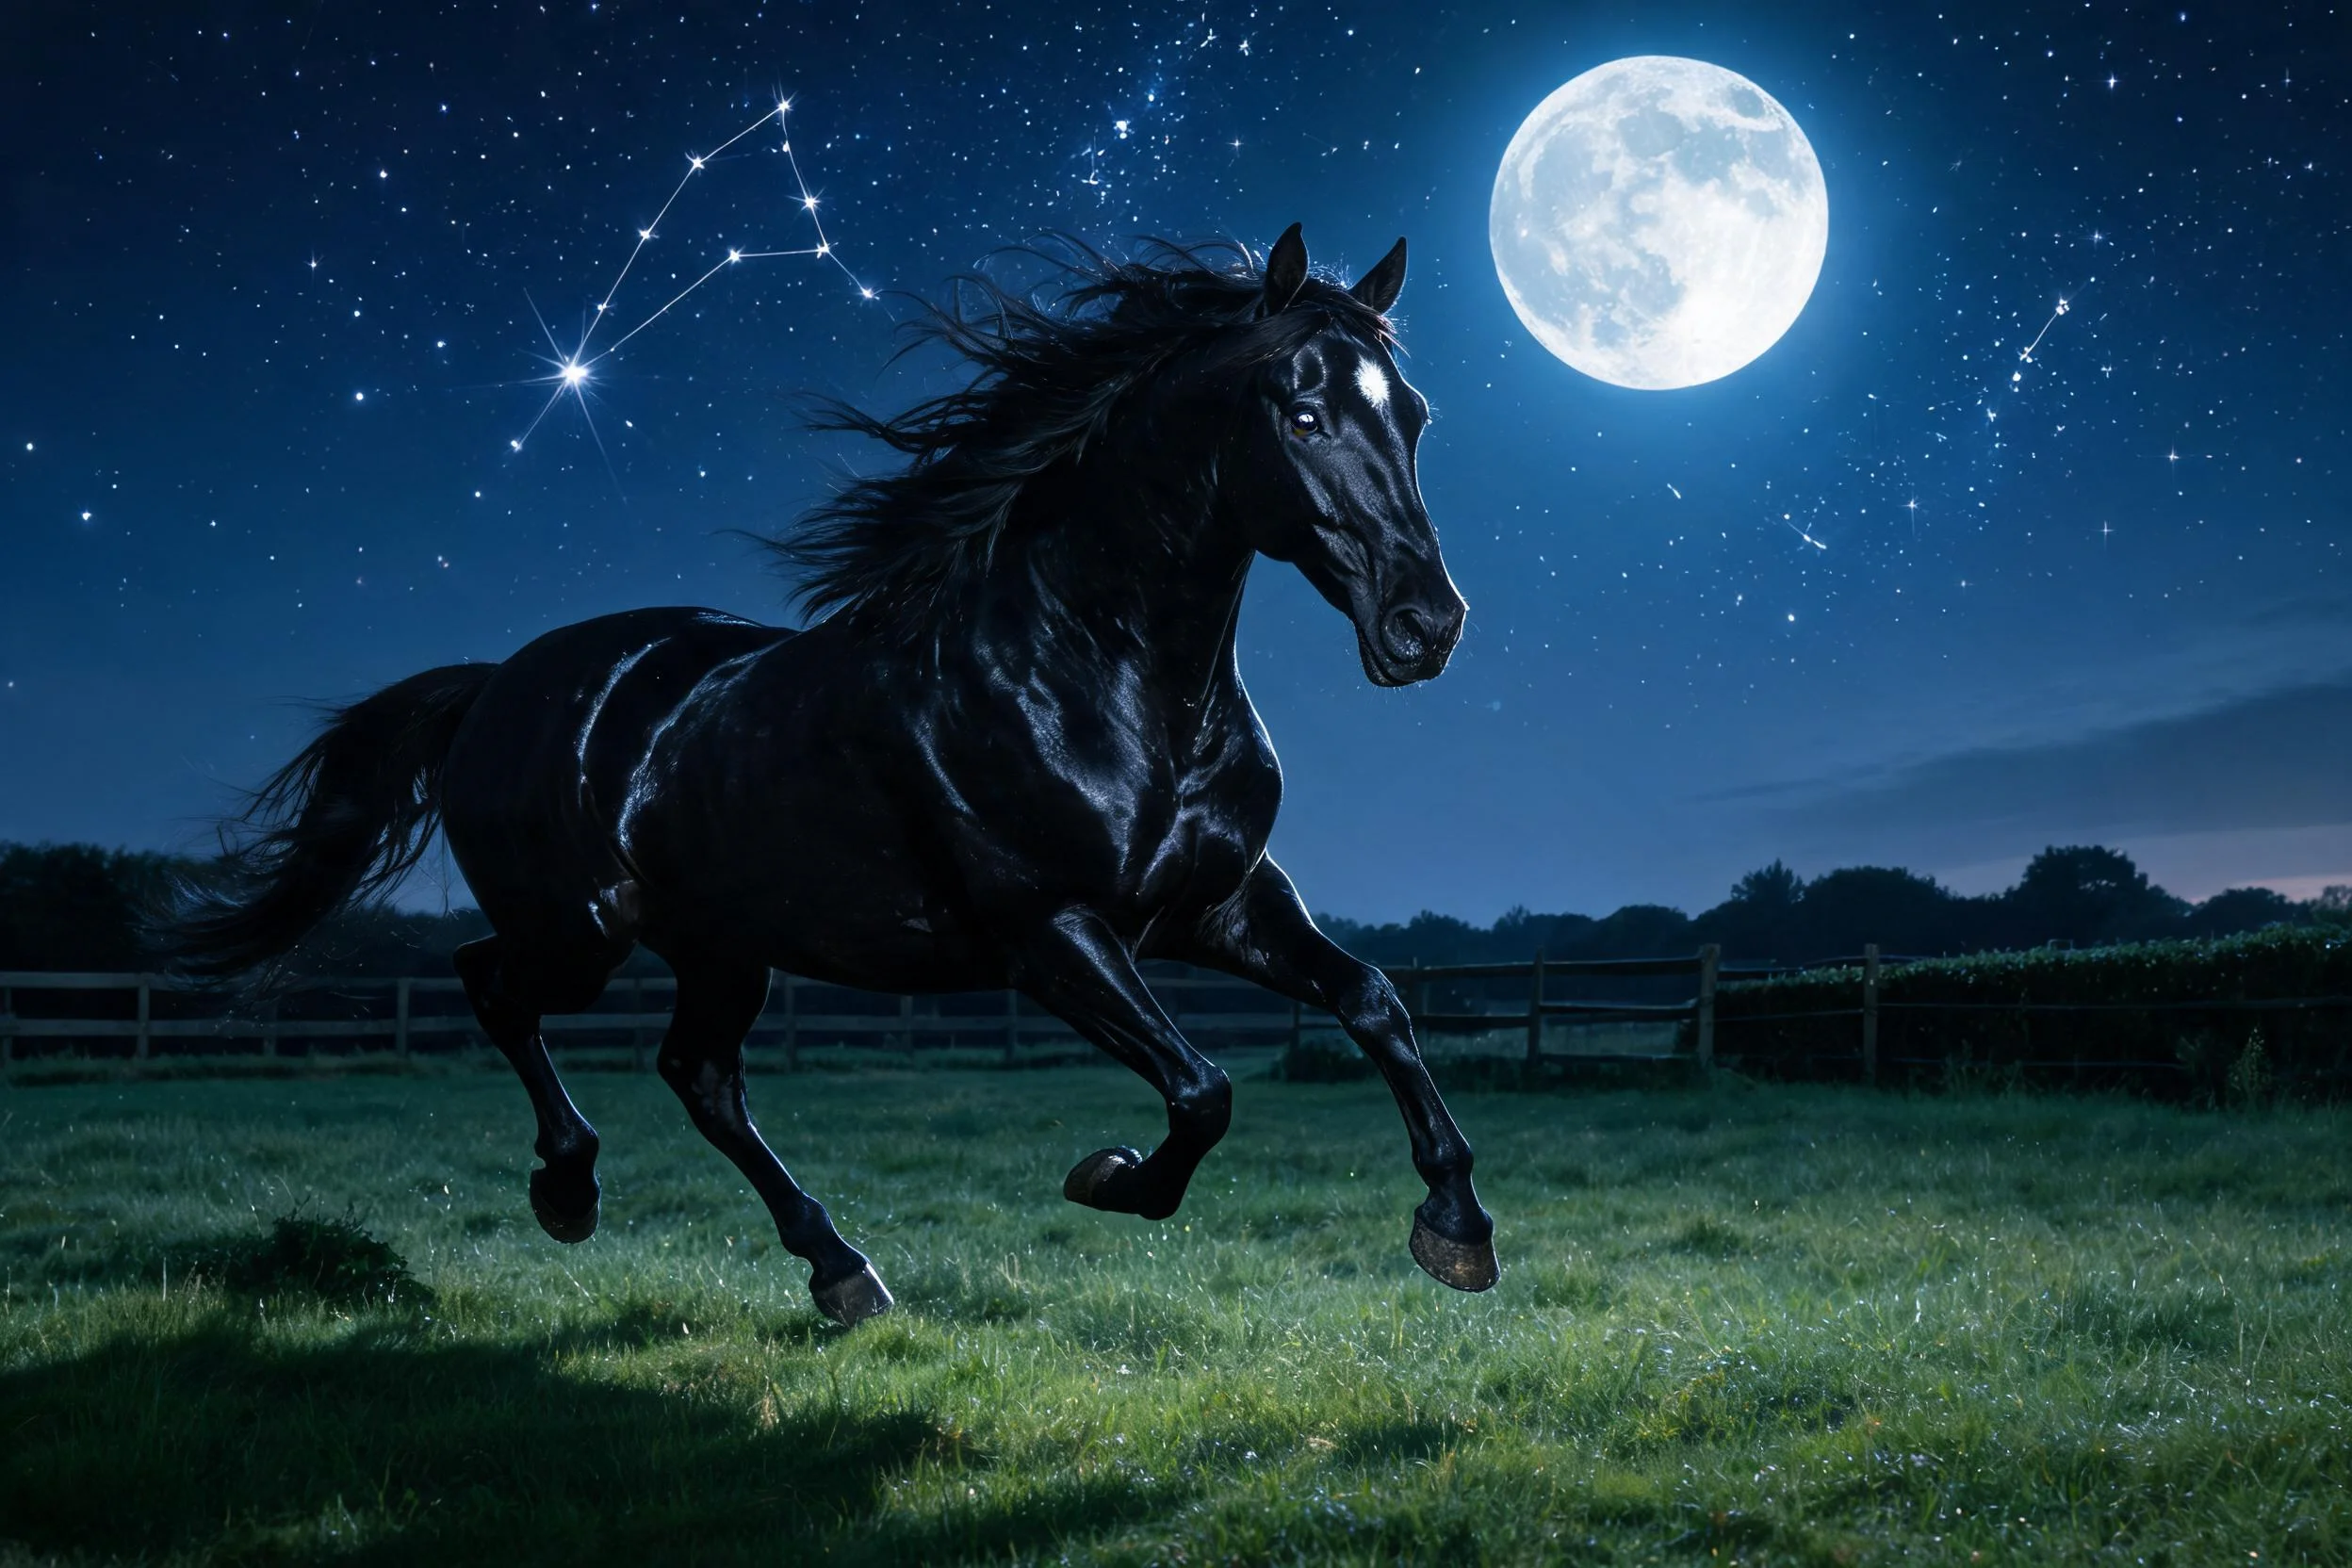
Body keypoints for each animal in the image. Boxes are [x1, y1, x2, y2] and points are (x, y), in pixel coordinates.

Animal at [175, 225, 1498, 1325]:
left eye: (1416, 415)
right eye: (1303, 413)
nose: (1426, 626)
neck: (1100, 669)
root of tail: (498, 681)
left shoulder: (1216, 904)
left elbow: (1373, 999)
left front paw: (1458, 1228)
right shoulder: (1050, 930)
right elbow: (1204, 1087)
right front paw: (1109, 1177)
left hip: (721, 944)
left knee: (698, 1074)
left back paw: (839, 1267)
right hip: (581, 930)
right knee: (490, 981)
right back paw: (571, 1189)